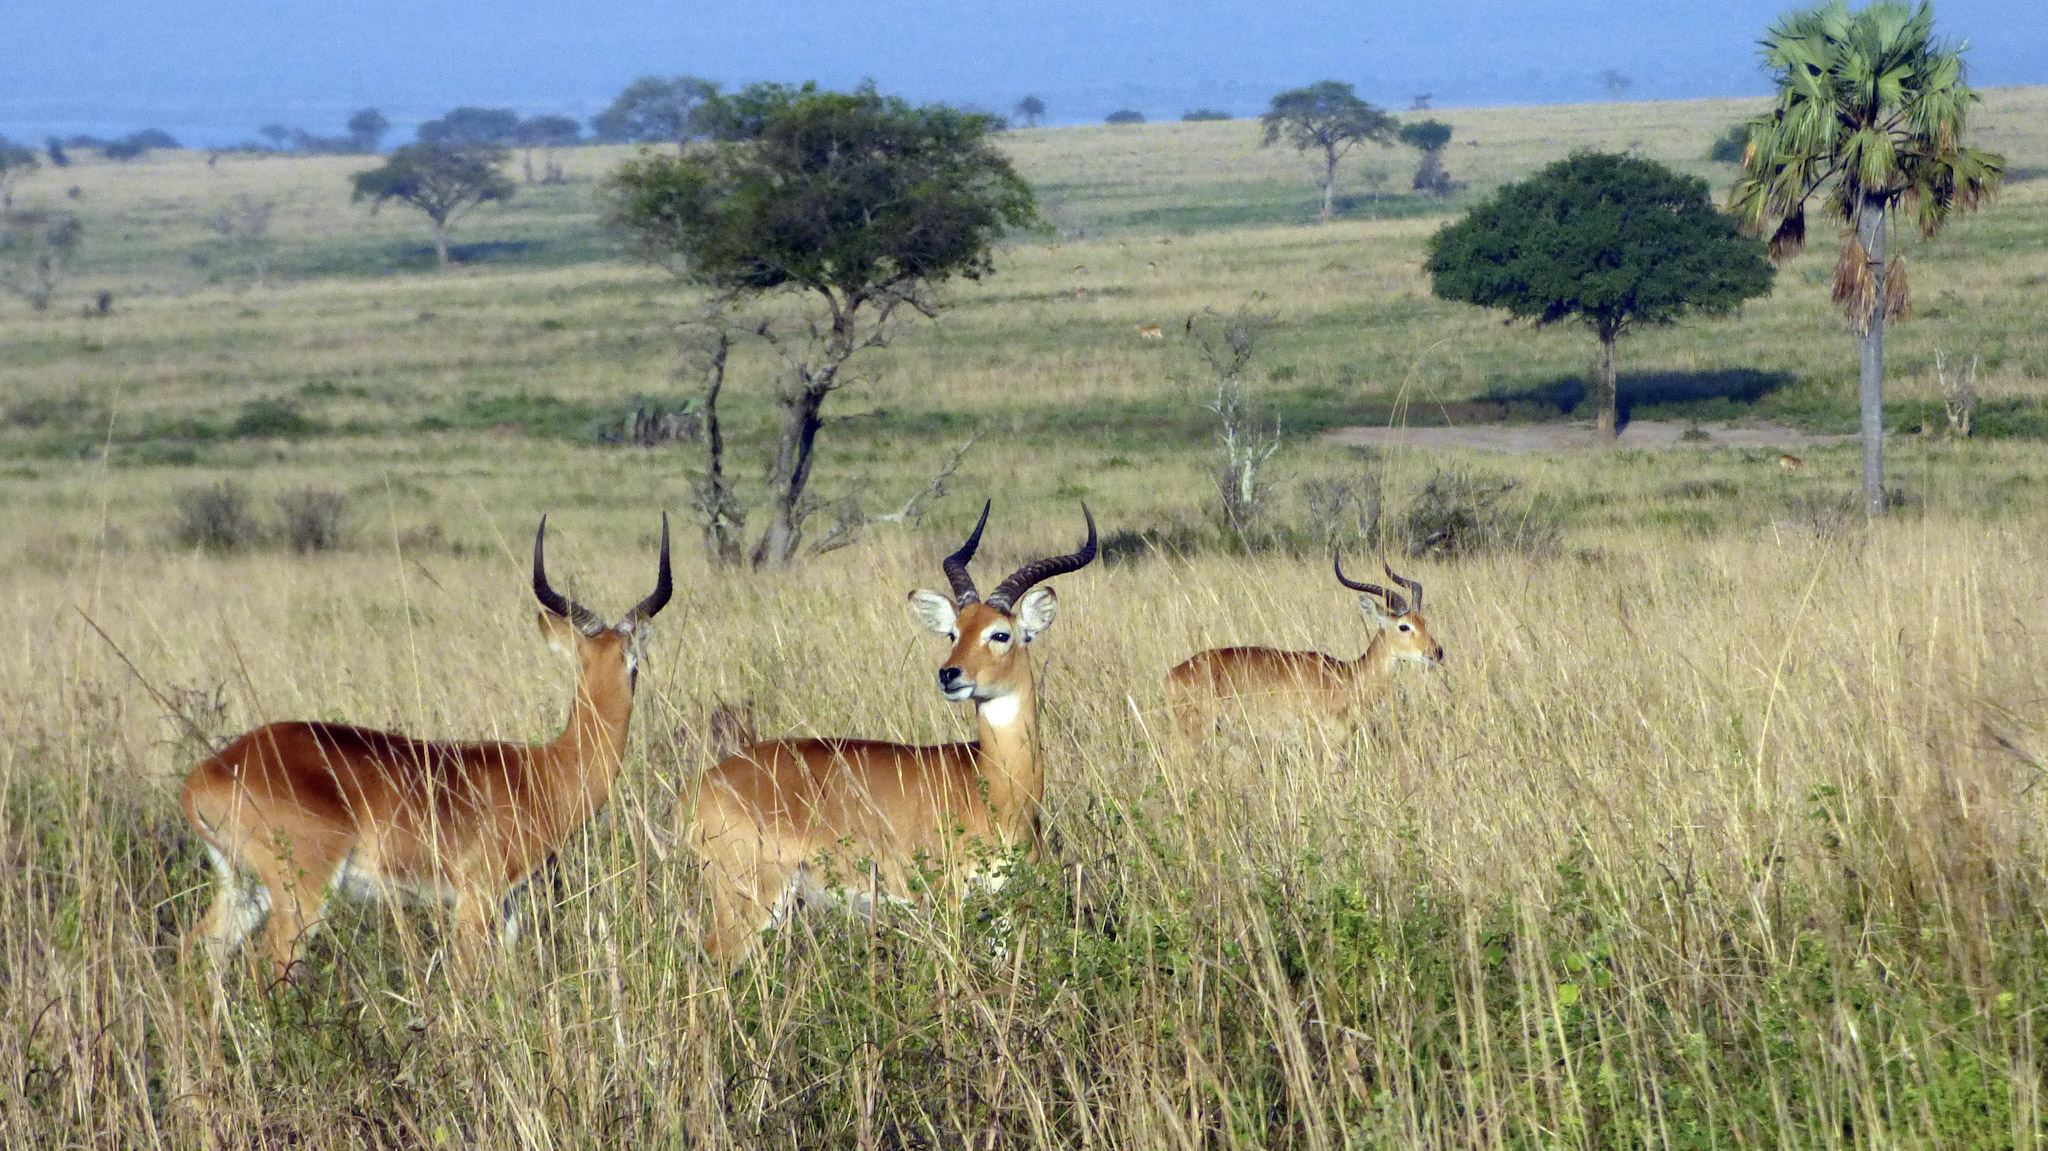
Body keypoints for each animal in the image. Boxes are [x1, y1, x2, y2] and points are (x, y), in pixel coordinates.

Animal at [177, 516, 671, 970]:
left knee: (199, 945)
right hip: (300, 894)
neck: (546, 773)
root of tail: (205, 774)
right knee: (270, 960)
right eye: (628, 660)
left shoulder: (510, 903)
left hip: (245, 888)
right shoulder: (475, 896)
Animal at [688, 501, 1097, 958]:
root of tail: (704, 784)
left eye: (1000, 633)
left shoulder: (1004, 908)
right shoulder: (945, 899)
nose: (949, 674)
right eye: (954, 632)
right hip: (747, 901)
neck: (994, 785)